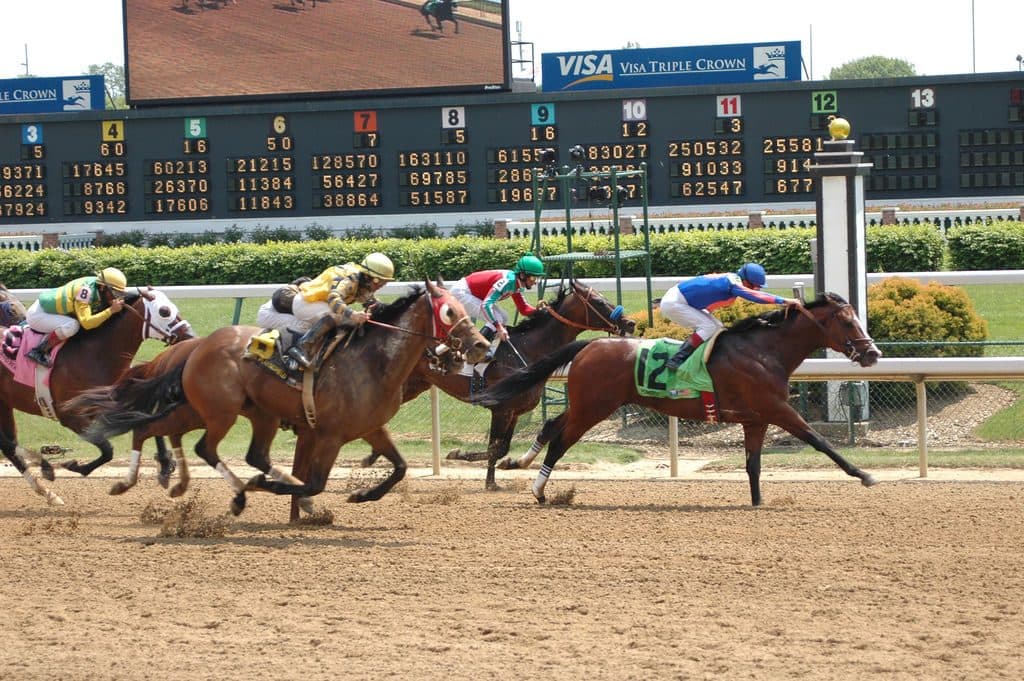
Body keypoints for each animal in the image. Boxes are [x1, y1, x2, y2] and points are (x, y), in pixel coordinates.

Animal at [0, 287, 193, 505]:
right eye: (164, 311)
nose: (189, 335)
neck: (94, 355)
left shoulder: (112, 402)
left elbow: (146, 421)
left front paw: (166, 465)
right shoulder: (71, 416)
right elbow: (107, 450)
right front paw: (75, 466)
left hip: (5, 403)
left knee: (9, 447)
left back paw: (48, 492)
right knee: (8, 445)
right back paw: (47, 473)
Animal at [70, 281, 489, 521]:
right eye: (450, 311)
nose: (480, 346)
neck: (373, 360)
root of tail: (199, 345)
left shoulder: (370, 428)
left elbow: (399, 468)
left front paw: (360, 494)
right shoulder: (328, 434)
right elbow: (313, 483)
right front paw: (276, 492)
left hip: (223, 411)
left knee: (154, 427)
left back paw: (141, 482)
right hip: (219, 412)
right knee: (203, 447)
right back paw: (230, 492)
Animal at [361, 279, 635, 489]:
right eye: (599, 302)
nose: (630, 323)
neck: (528, 349)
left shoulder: (514, 412)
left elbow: (501, 448)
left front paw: (493, 478)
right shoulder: (500, 409)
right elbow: (494, 448)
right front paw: (466, 461)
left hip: (415, 385)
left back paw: (373, 454)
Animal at [473, 292, 883, 507]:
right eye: (848, 322)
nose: (872, 353)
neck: (764, 351)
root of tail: (591, 343)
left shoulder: (756, 418)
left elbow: (753, 466)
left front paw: (757, 503)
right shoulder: (778, 410)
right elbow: (820, 441)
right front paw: (864, 474)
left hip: (587, 404)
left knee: (551, 425)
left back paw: (519, 463)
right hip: (594, 408)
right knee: (560, 440)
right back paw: (539, 491)